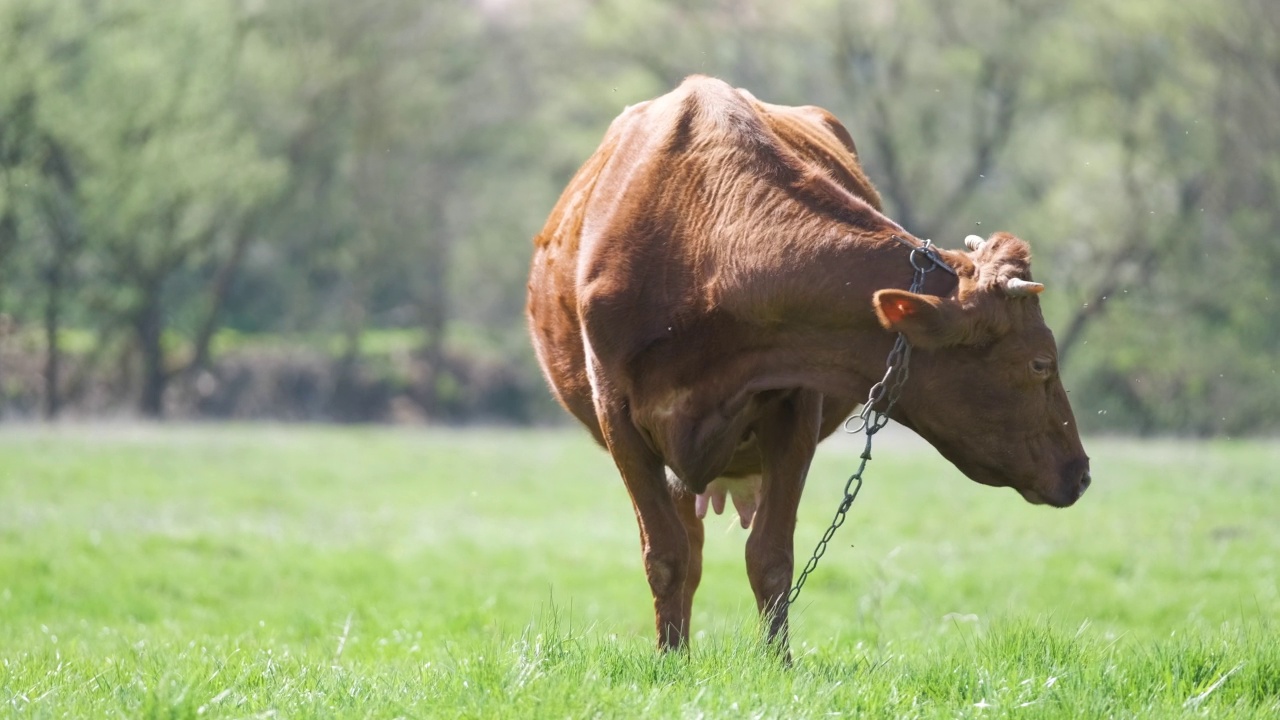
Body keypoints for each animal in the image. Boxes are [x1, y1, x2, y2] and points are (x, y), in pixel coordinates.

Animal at [524, 75, 1085, 648]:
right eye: (1041, 362)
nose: (1081, 472)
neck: (699, 248)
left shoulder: (795, 406)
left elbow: (770, 558)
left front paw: (776, 661)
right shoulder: (619, 415)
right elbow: (666, 556)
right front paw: (670, 659)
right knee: (689, 549)